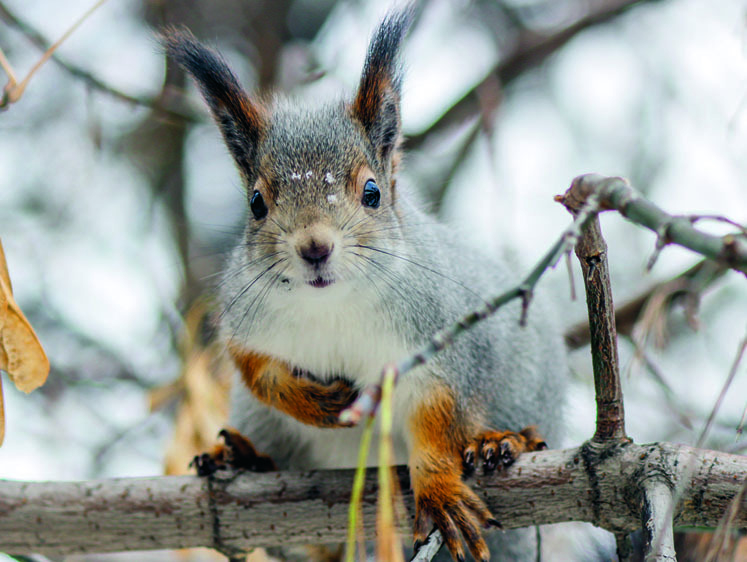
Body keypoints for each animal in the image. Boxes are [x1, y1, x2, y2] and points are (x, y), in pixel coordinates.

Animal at [165, 9, 568, 560]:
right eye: (256, 202)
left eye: (371, 192)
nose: (315, 247)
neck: (333, 304)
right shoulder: (246, 320)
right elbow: (256, 370)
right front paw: (317, 402)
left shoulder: (439, 339)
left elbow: (439, 419)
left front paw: (439, 490)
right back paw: (242, 457)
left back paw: (504, 441)